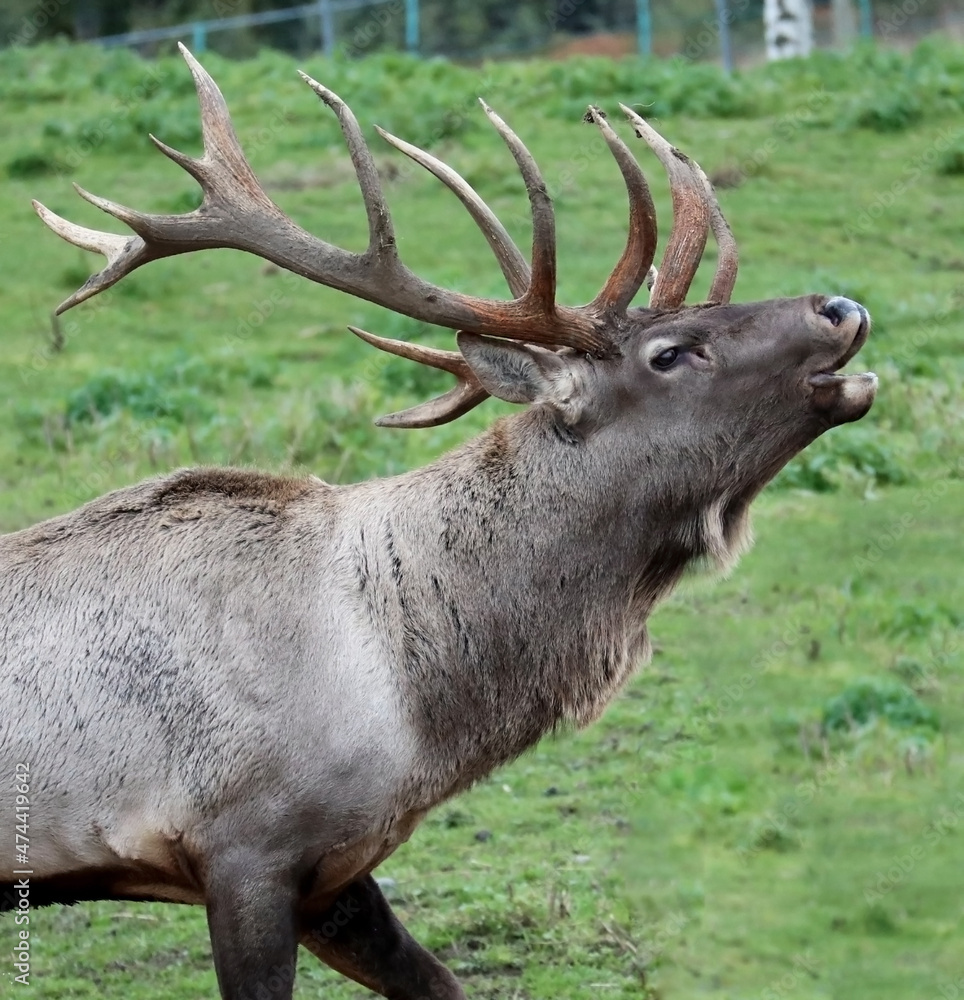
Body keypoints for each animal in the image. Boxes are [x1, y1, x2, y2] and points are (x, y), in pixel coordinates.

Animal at [0, 45, 872, 1000]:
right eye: (670, 353)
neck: (414, 701)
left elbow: (442, 984)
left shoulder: (336, 869)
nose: (840, 307)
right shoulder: (244, 847)